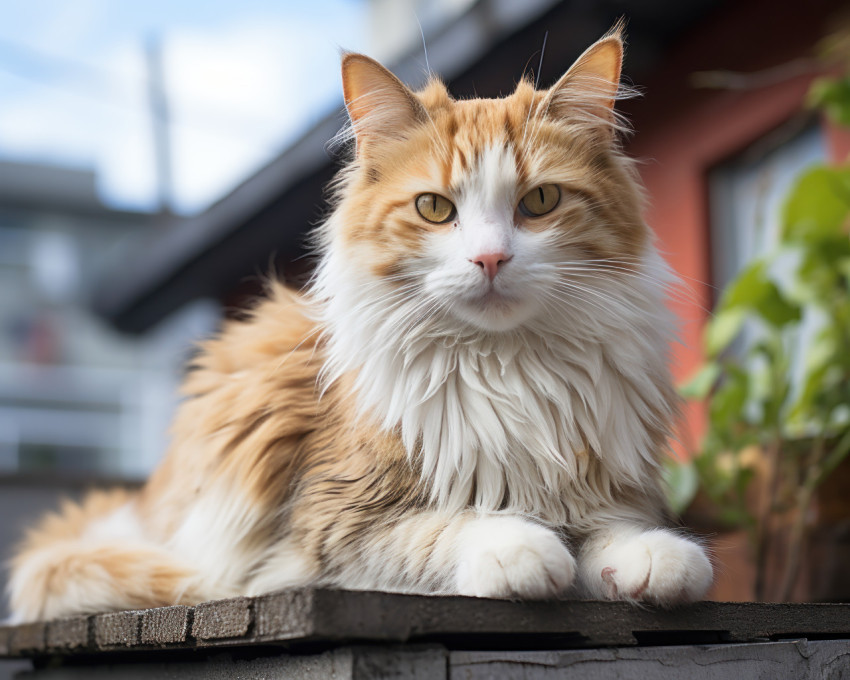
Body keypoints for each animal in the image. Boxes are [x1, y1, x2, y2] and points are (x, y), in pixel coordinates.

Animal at [6, 26, 708, 620]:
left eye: (540, 201)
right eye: (434, 208)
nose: (490, 259)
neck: (505, 367)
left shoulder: (604, 489)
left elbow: (614, 530)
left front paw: (657, 557)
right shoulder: (330, 522)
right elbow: (444, 527)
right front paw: (522, 549)